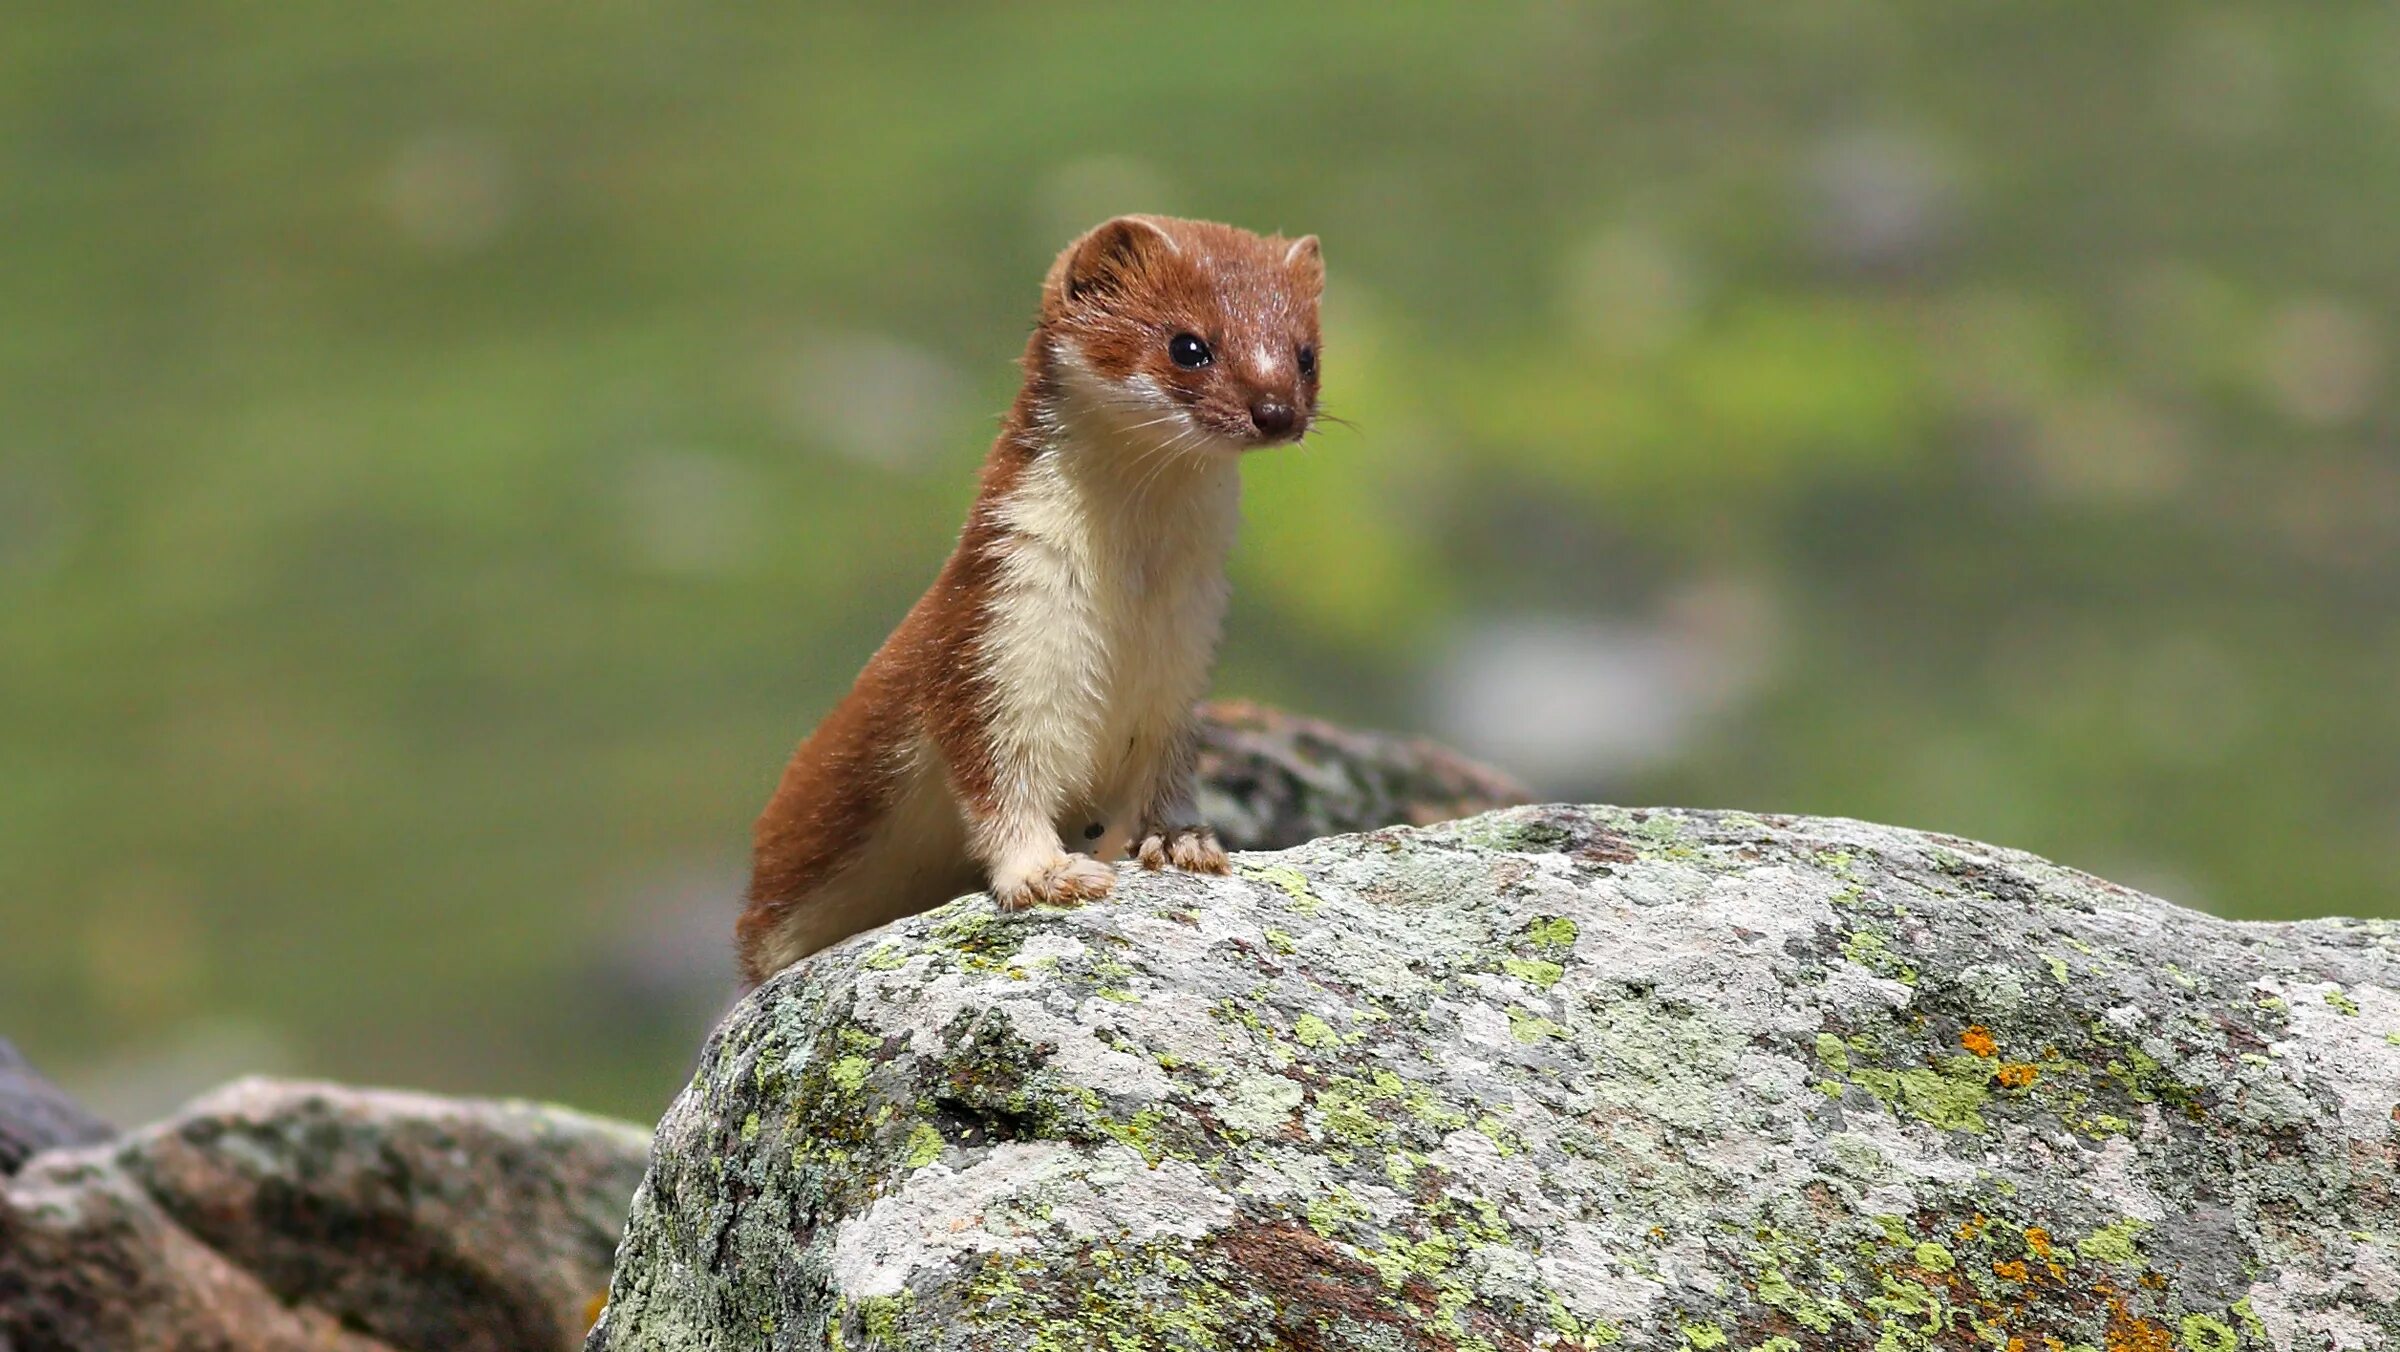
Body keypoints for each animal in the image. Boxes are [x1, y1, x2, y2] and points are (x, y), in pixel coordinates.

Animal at [734, 217, 1324, 989]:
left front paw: (1180, 840)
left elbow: (1165, 773)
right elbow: (999, 779)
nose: (1276, 412)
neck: (1134, 602)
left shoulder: (1185, 661)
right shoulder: (993, 634)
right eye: (1189, 345)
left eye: (1307, 354)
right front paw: (1049, 875)